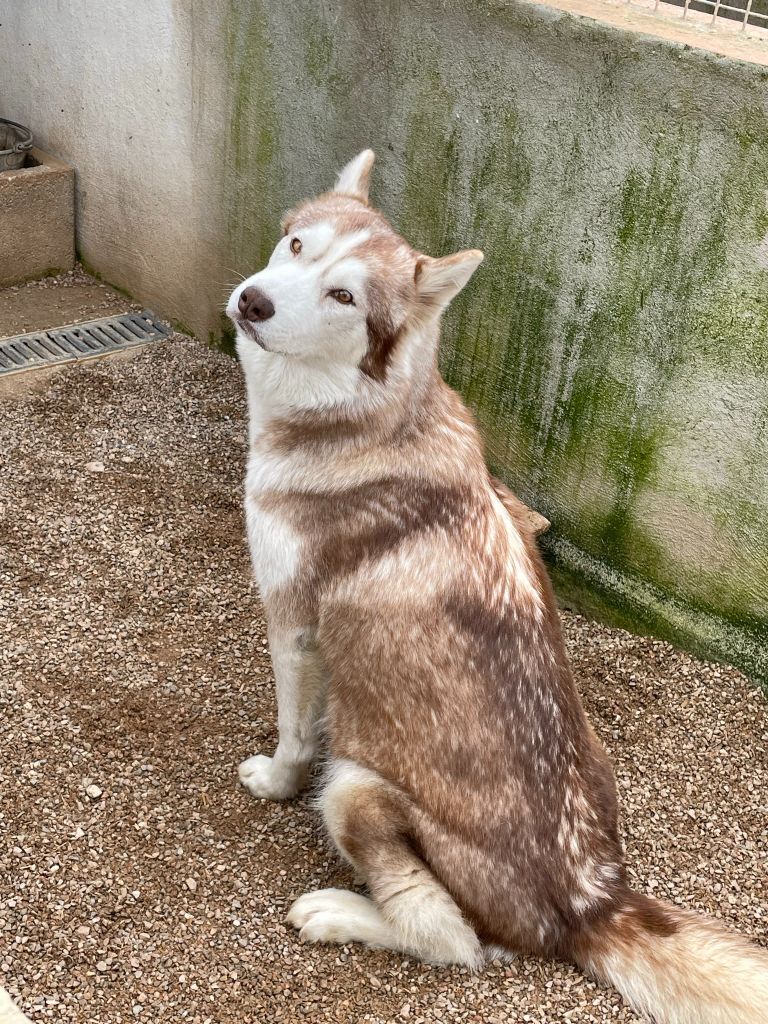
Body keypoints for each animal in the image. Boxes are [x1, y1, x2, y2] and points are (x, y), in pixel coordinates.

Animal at [227, 151, 768, 1024]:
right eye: (297, 244)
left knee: (451, 940)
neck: (364, 420)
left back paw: (339, 912)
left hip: (357, 790)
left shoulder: (296, 626)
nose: (253, 301)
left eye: (345, 297)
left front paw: (275, 782)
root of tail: (591, 906)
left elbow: (294, 733)